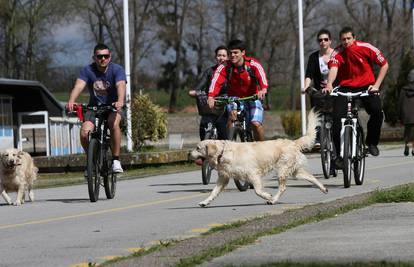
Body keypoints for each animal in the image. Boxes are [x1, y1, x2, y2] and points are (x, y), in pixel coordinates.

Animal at [189, 110, 328, 208]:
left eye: (197, 148)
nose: (189, 153)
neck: (223, 153)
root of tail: (293, 142)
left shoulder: (253, 174)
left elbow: (257, 191)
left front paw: (268, 196)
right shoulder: (224, 177)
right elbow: (213, 192)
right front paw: (204, 202)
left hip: (282, 170)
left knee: (283, 188)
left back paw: (273, 200)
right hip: (295, 171)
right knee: (311, 177)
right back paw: (323, 188)